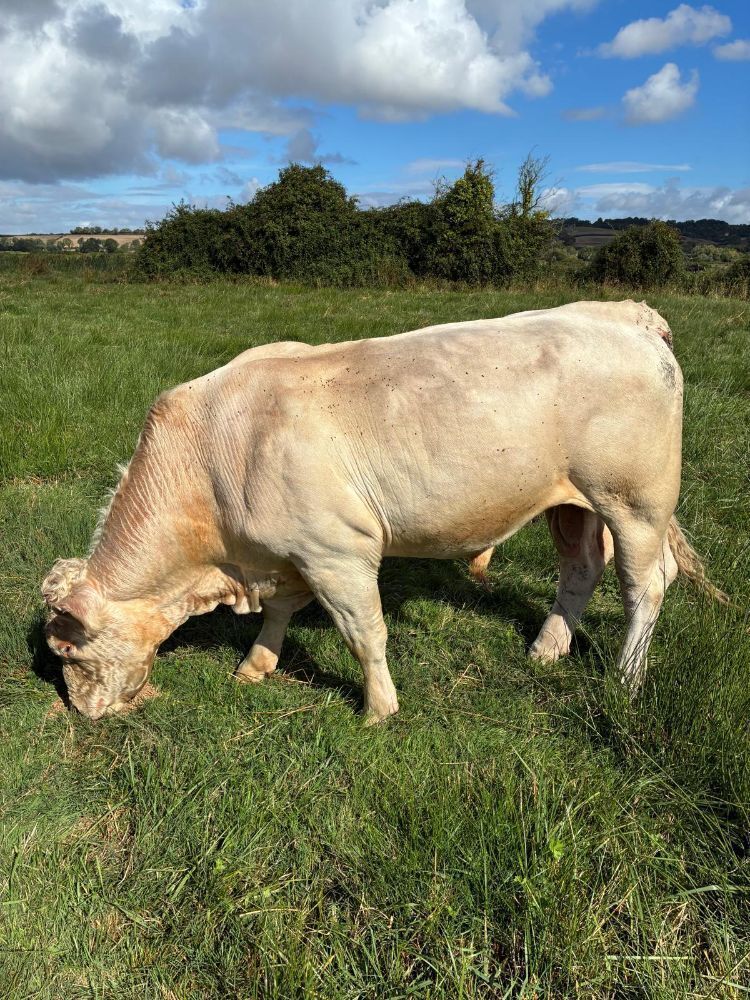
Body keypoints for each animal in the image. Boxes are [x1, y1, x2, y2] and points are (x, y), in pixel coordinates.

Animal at [42, 300, 725, 722]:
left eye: (68, 652)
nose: (81, 713)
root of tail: (624, 314)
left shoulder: (338, 552)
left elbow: (363, 632)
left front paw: (378, 709)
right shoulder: (292, 553)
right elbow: (281, 613)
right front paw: (255, 666)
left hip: (635, 499)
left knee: (645, 586)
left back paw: (627, 679)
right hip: (571, 502)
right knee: (580, 571)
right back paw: (546, 649)